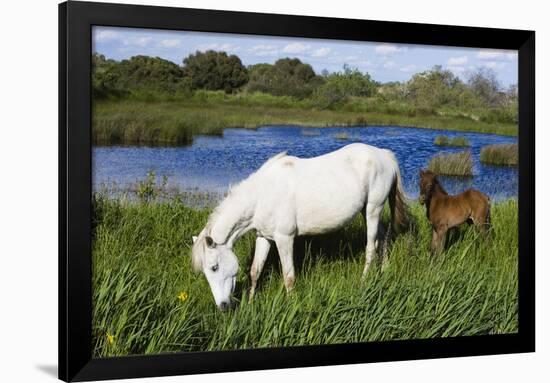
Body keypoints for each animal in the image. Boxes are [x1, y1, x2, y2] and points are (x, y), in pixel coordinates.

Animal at [192, 142, 408, 310]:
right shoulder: (264, 237)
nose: (222, 306)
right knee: (383, 238)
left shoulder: (284, 238)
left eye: (214, 267)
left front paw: (291, 305)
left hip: (373, 209)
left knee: (371, 247)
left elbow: (289, 276)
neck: (262, 195)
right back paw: (385, 271)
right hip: (367, 211)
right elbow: (255, 271)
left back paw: (363, 284)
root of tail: (384, 155)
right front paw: (251, 303)